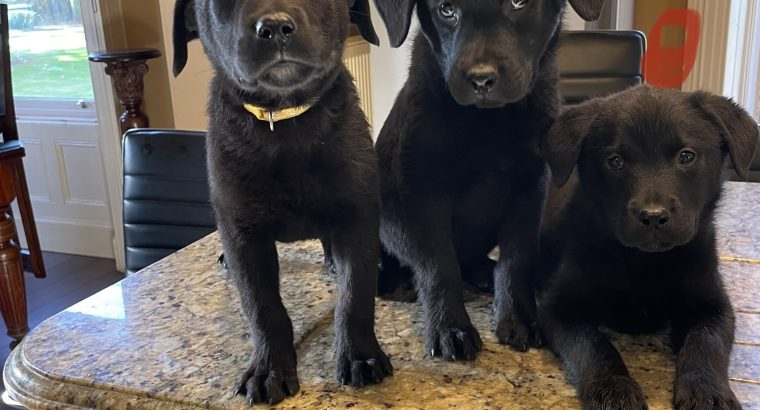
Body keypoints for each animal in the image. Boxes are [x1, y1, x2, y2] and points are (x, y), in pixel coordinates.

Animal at [173, 0, 392, 404]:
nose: (274, 28)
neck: (285, 120)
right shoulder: (243, 234)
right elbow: (262, 307)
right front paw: (269, 368)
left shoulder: (357, 216)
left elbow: (355, 296)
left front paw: (360, 354)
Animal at [374, 0, 604, 358]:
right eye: (445, 10)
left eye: (519, 3)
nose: (481, 80)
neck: (487, 122)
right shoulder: (424, 192)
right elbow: (440, 266)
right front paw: (449, 326)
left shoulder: (531, 187)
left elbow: (517, 259)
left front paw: (518, 316)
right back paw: (392, 279)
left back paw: (483, 272)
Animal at [536, 85, 756, 408]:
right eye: (615, 161)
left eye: (686, 156)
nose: (653, 216)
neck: (644, 261)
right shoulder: (558, 308)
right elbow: (593, 343)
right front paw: (613, 388)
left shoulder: (713, 305)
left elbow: (706, 341)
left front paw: (706, 390)